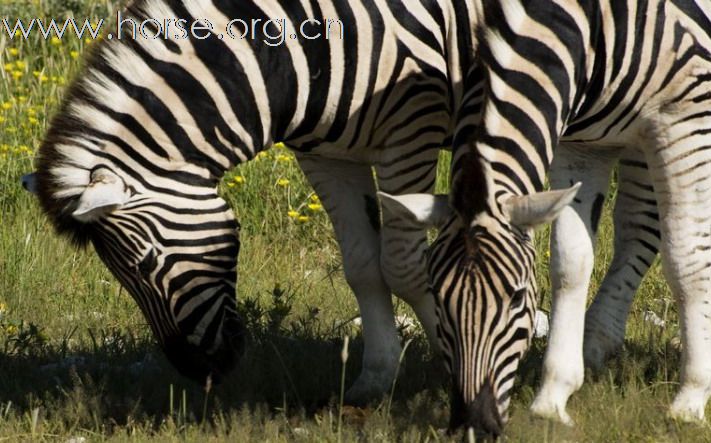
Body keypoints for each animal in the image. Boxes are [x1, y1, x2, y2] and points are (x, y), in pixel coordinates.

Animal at [386, 0, 711, 438]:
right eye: (437, 295)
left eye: (516, 297)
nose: (475, 424)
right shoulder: (583, 144)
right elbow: (570, 263)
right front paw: (553, 396)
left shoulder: (684, 117)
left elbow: (685, 262)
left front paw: (690, 399)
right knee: (638, 224)